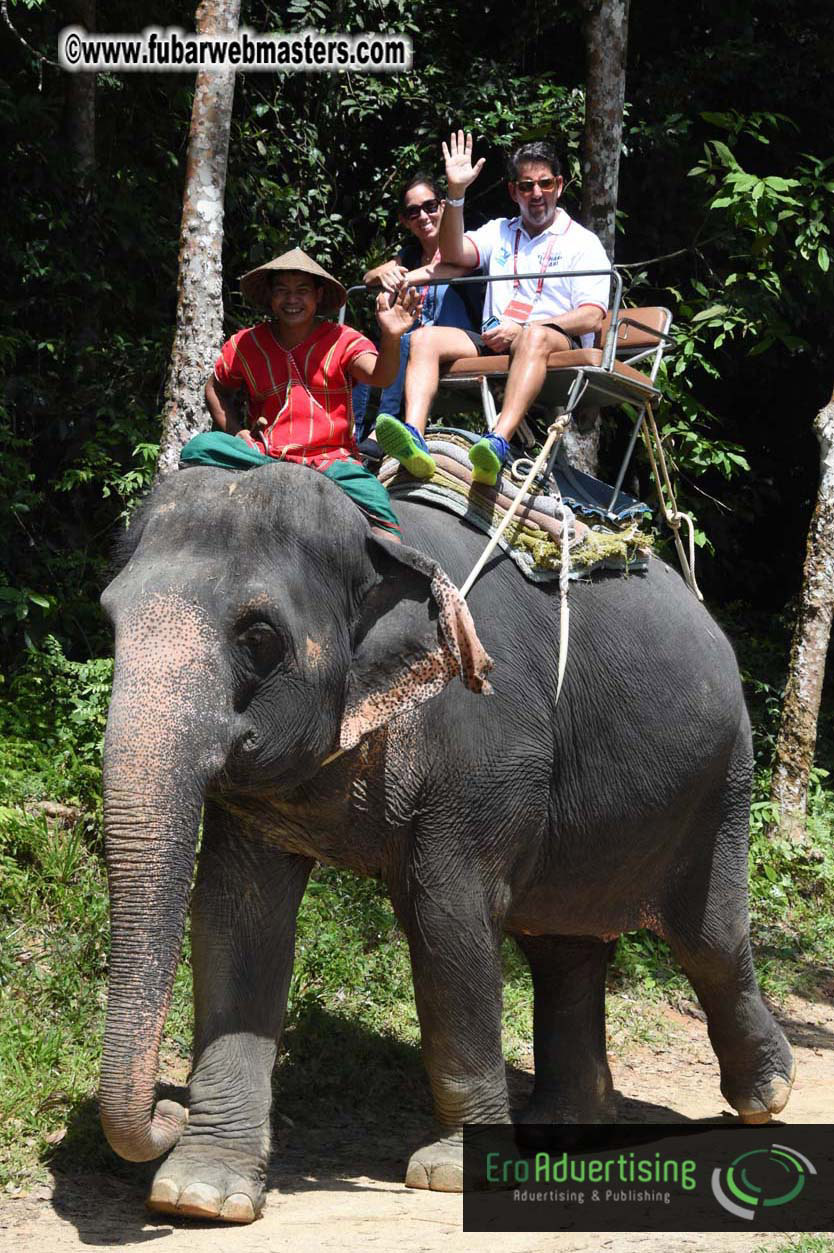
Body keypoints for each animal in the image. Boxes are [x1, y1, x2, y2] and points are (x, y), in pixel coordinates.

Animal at [98, 458, 794, 1224]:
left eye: (258, 637)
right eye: (110, 621)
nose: (165, 1109)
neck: (374, 535)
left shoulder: (484, 742)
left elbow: (446, 912)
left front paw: (455, 1174)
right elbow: (235, 918)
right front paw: (200, 1195)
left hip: (723, 778)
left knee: (708, 937)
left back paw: (767, 1094)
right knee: (562, 946)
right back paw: (562, 1131)